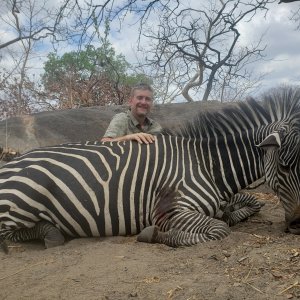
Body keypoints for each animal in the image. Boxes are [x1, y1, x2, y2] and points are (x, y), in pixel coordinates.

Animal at [0, 87, 300, 251]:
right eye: (285, 167)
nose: (298, 226)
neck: (206, 163)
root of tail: (14, 161)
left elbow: (250, 204)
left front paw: (230, 212)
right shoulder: (170, 212)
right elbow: (218, 230)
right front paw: (153, 234)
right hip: (25, 197)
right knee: (8, 234)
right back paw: (50, 233)